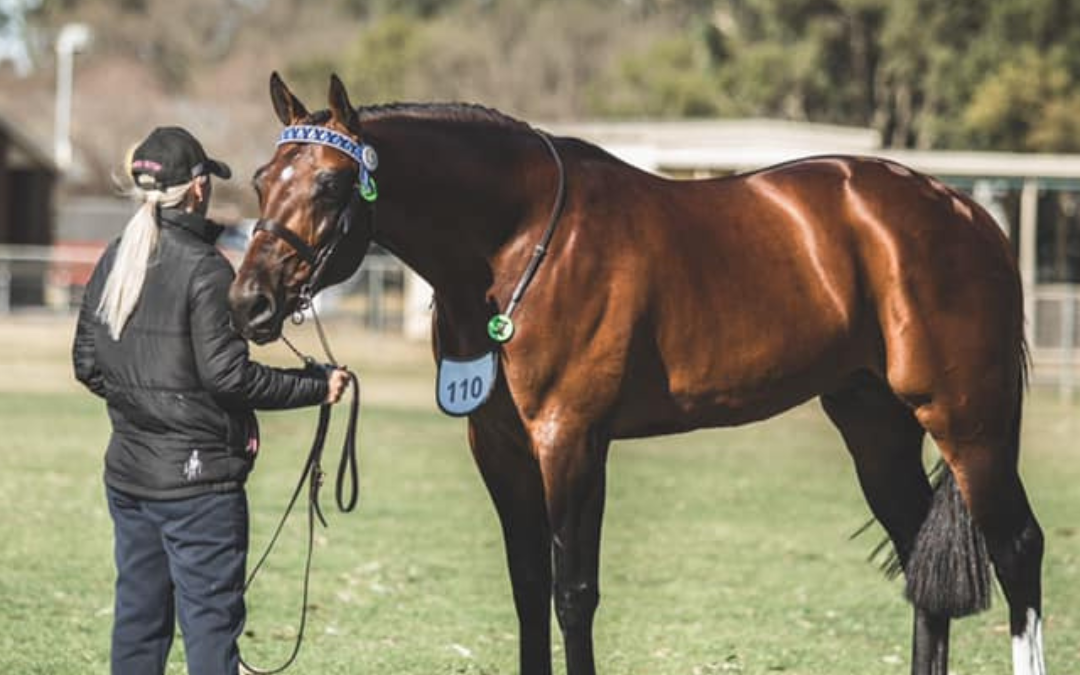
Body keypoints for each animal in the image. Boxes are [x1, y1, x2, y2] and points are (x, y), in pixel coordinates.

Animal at [228, 73, 1046, 675]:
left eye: (331, 187)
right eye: (262, 178)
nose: (249, 301)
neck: (518, 244)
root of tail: (968, 211)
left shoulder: (572, 441)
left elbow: (572, 593)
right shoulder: (500, 447)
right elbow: (529, 589)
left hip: (968, 418)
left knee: (1018, 549)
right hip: (875, 421)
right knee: (920, 566)